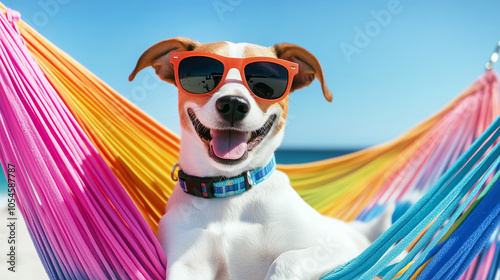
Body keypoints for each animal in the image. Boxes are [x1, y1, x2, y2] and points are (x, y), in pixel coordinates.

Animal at [128, 37, 390, 280]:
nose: (233, 104)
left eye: (265, 80)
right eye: (202, 73)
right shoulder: (188, 263)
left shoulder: (336, 248)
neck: (229, 189)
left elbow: (285, 260)